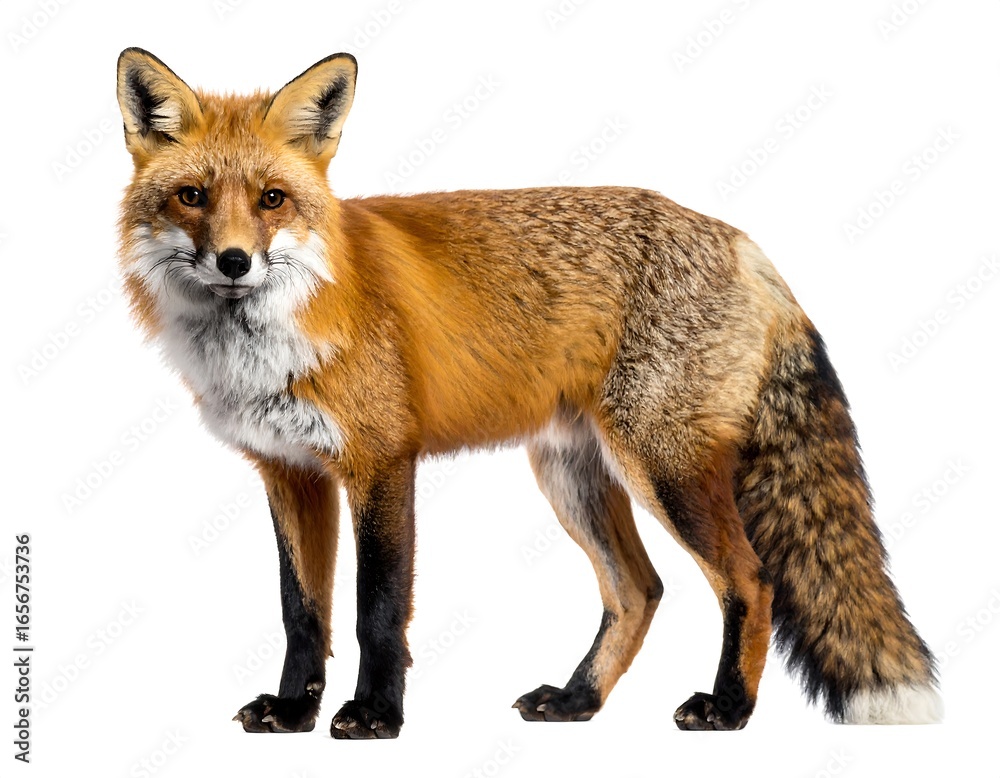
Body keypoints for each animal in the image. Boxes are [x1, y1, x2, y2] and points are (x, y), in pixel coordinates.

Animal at [115, 48, 941, 737]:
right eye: (192, 196)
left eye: (272, 199)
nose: (233, 261)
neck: (272, 342)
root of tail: (743, 242)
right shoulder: (290, 472)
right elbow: (301, 614)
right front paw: (293, 713)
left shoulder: (381, 463)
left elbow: (376, 610)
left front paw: (376, 716)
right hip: (571, 475)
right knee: (640, 591)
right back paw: (578, 700)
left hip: (663, 468)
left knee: (750, 579)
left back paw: (728, 709)